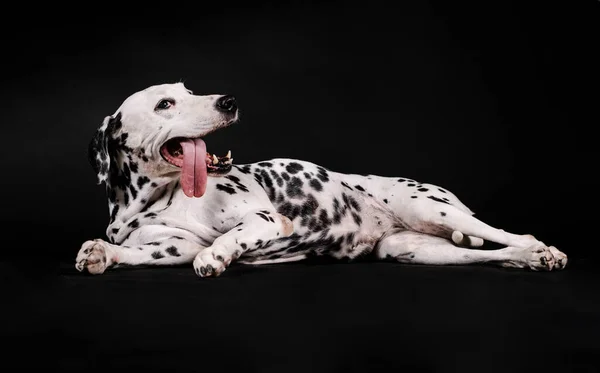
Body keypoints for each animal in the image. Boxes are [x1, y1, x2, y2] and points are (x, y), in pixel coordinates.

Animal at [75, 83, 568, 278]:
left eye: (189, 90)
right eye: (165, 104)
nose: (229, 101)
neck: (153, 199)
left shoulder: (266, 221)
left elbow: (228, 239)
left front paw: (217, 255)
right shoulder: (170, 247)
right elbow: (131, 252)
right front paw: (101, 253)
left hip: (430, 207)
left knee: (516, 234)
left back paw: (544, 252)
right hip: (413, 249)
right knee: (487, 253)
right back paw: (523, 261)